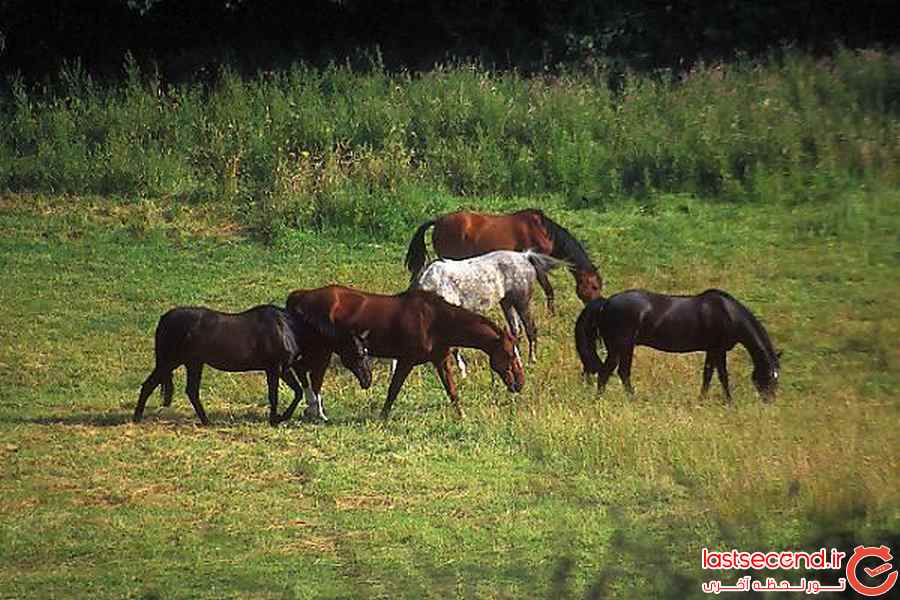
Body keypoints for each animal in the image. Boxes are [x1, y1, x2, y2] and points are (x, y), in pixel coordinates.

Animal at [134, 304, 372, 426]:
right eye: (360, 354)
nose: (367, 380)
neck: (288, 327)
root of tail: (165, 318)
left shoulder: (283, 369)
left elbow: (296, 393)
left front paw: (281, 417)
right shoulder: (275, 369)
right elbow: (275, 395)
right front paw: (276, 419)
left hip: (194, 363)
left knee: (191, 391)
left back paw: (206, 421)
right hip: (170, 362)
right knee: (149, 385)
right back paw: (137, 418)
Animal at [286, 288, 528, 420]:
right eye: (510, 354)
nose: (520, 384)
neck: (435, 320)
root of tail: (300, 296)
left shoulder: (440, 360)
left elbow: (451, 391)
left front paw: (461, 416)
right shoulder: (406, 360)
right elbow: (393, 390)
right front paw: (382, 417)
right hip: (322, 351)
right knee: (312, 377)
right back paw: (317, 412)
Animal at [402, 207, 600, 310]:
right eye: (594, 286)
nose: (596, 305)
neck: (542, 230)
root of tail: (438, 221)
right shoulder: (538, 265)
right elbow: (549, 289)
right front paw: (551, 313)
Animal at [412, 247, 568, 366]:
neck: (435, 283)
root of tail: (524, 256)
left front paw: (462, 372)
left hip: (522, 303)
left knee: (531, 330)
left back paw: (531, 360)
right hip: (507, 303)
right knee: (515, 331)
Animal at [576, 288, 780, 400]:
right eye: (770, 376)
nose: (769, 400)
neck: (727, 313)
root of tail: (605, 303)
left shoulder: (712, 350)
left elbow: (708, 375)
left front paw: (702, 399)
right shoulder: (718, 349)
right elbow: (722, 376)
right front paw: (729, 402)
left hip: (623, 347)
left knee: (618, 373)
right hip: (620, 346)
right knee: (609, 373)